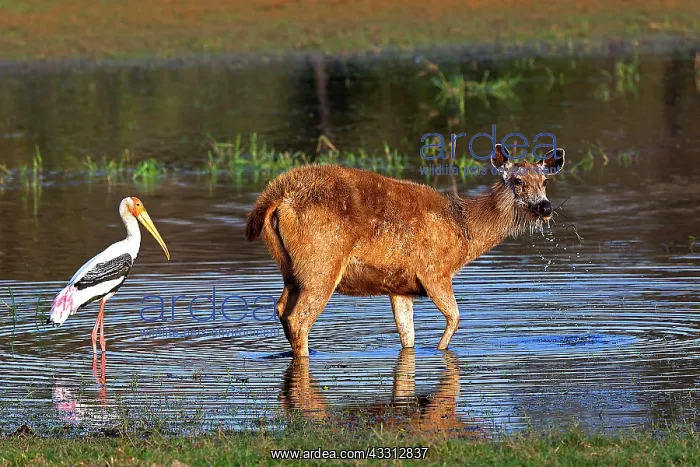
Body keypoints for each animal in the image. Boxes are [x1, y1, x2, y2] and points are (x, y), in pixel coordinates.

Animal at [245, 143, 565, 357]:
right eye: (518, 181)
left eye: (545, 181)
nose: (545, 208)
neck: (465, 233)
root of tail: (275, 195)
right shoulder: (435, 270)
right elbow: (455, 318)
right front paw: (439, 352)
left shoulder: (400, 286)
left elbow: (407, 336)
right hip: (321, 262)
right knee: (299, 319)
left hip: (291, 268)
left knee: (281, 309)